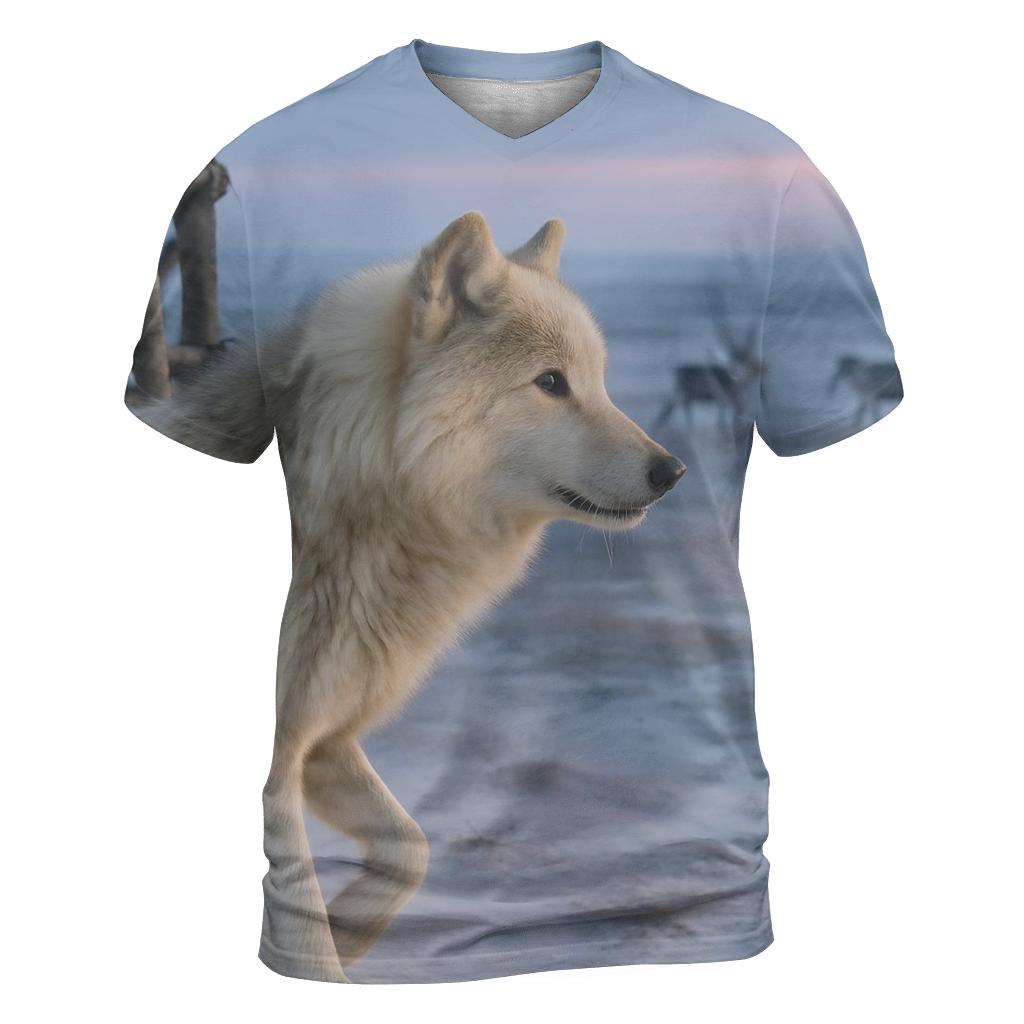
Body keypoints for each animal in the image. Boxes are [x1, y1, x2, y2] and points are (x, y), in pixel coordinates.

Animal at [133, 211, 685, 981]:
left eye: (599, 383)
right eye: (550, 382)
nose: (673, 471)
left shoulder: (325, 739)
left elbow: (411, 848)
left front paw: (347, 932)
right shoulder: (286, 756)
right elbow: (305, 902)